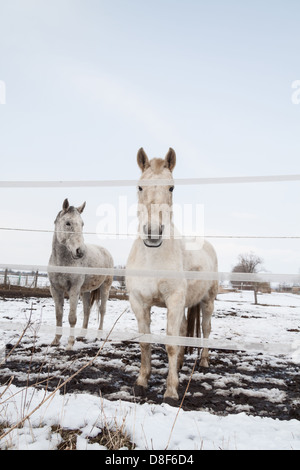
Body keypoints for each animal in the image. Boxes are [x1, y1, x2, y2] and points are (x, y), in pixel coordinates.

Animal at [48, 198, 113, 348]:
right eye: (68, 223)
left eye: (82, 224)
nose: (80, 251)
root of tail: (106, 251)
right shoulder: (55, 289)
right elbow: (58, 314)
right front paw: (56, 340)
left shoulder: (74, 289)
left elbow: (72, 317)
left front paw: (70, 344)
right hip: (86, 291)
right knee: (87, 310)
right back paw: (82, 335)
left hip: (105, 287)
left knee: (102, 310)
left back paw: (99, 336)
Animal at [125, 148, 218, 404]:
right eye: (139, 187)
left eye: (171, 188)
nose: (153, 232)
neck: (152, 258)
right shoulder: (139, 302)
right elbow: (146, 343)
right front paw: (141, 382)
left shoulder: (174, 301)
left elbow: (171, 344)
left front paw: (170, 391)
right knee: (185, 329)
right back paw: (181, 364)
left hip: (207, 301)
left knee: (205, 328)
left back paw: (203, 361)